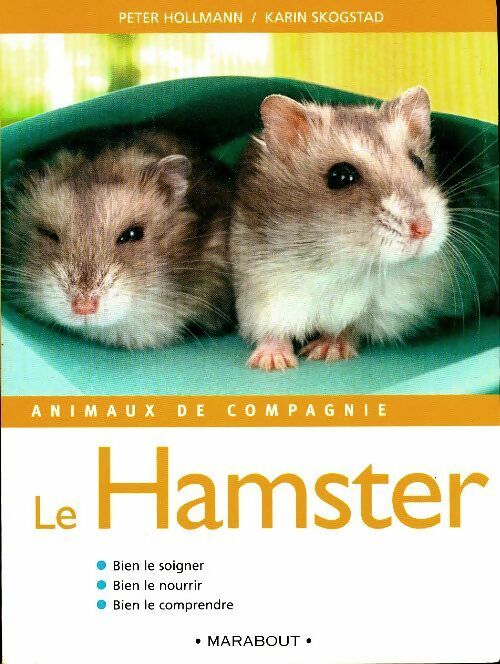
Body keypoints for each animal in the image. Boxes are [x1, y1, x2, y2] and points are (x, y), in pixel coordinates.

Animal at [230, 87, 498, 370]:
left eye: (418, 162)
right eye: (340, 176)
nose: (424, 229)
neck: (341, 265)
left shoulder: (390, 307)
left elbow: (350, 326)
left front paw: (327, 352)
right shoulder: (263, 292)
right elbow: (272, 331)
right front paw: (271, 364)